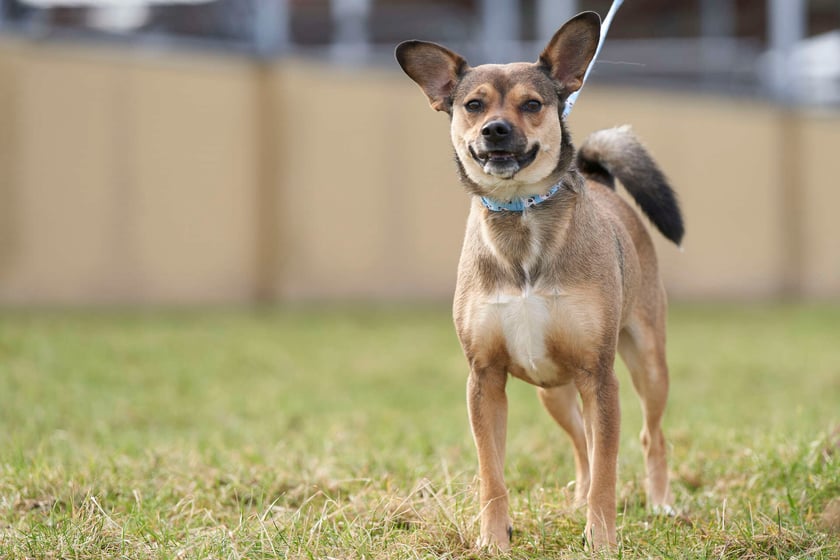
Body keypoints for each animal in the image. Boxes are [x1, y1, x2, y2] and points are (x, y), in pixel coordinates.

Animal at [396, 10, 684, 552]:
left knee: (649, 436)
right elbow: (492, 474)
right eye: (473, 104)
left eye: (532, 104)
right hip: (555, 392)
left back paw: (660, 504)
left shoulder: (599, 376)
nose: (495, 130)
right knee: (582, 446)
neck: (521, 214)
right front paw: (493, 540)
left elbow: (609, 470)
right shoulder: (485, 379)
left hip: (647, 365)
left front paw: (601, 541)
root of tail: (600, 180)